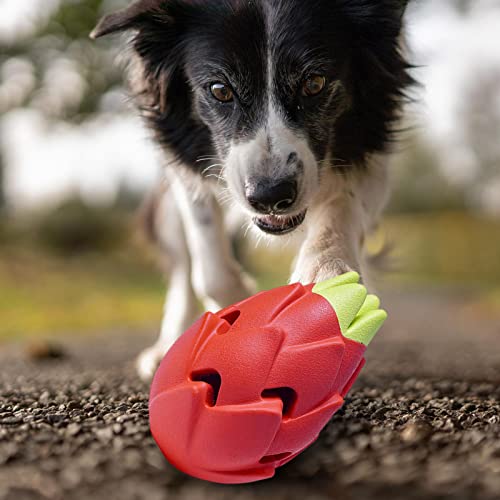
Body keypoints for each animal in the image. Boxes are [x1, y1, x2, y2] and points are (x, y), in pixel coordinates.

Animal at [93, 0, 414, 378]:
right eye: (220, 90)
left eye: (315, 82)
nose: (270, 196)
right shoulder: (183, 163)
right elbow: (208, 264)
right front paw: (234, 304)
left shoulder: (372, 145)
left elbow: (341, 206)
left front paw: (326, 269)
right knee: (183, 268)